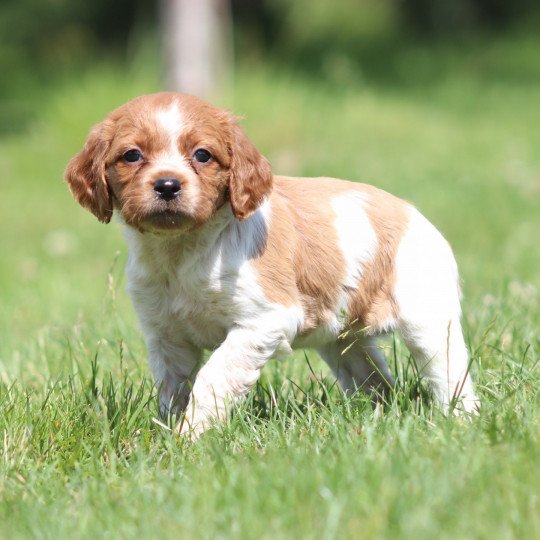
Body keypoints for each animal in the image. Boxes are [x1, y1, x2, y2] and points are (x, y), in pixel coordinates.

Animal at [66, 92, 476, 438]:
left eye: (202, 155)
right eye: (132, 155)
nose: (167, 185)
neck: (182, 251)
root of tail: (415, 214)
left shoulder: (263, 321)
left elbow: (214, 377)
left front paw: (189, 436)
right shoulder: (166, 335)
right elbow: (173, 388)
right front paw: (168, 432)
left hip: (428, 323)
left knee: (451, 375)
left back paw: (461, 421)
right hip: (343, 338)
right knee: (374, 379)